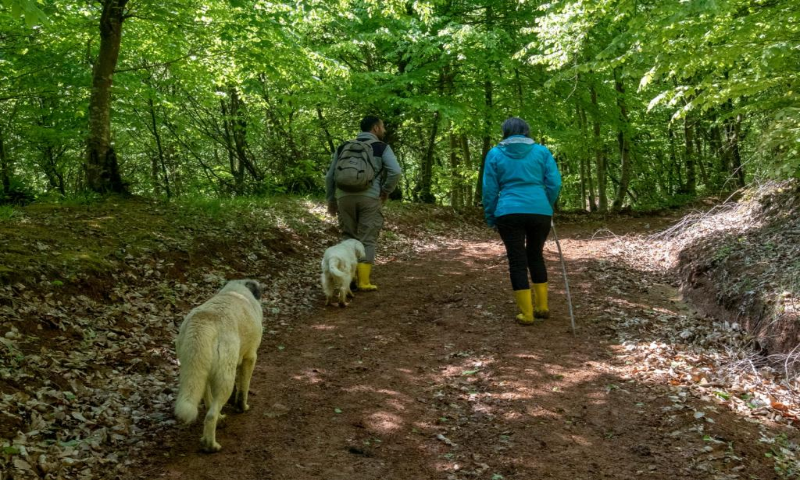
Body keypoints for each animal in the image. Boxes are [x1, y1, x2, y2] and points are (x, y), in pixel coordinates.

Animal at [173, 280, 264, 452]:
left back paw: (219, 420)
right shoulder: (250, 357)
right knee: (211, 415)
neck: (237, 290)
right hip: (224, 378)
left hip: (201, 372)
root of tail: (202, 323)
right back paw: (211, 445)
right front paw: (242, 407)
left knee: (208, 402)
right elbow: (243, 388)